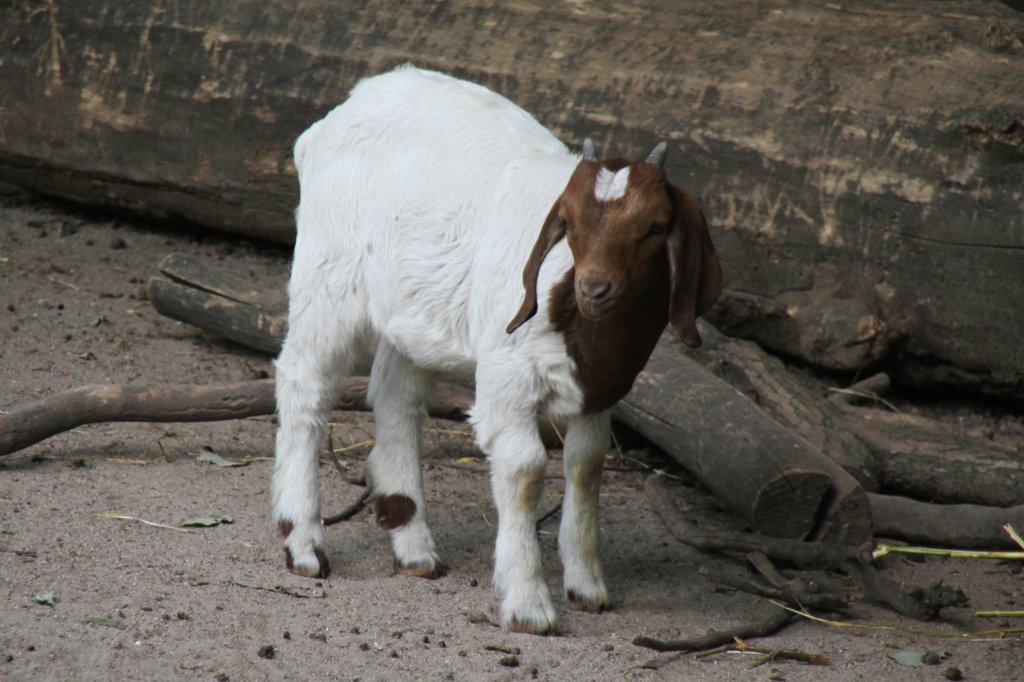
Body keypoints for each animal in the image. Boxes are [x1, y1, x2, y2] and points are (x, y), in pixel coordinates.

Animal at [272, 65, 720, 630]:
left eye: (655, 227)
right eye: (570, 225)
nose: (594, 288)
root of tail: (352, 102)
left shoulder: (599, 388)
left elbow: (587, 463)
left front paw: (587, 584)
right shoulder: (508, 377)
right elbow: (525, 469)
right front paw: (528, 601)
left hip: (415, 307)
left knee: (396, 395)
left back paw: (413, 544)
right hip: (329, 273)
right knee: (305, 382)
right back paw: (304, 543)